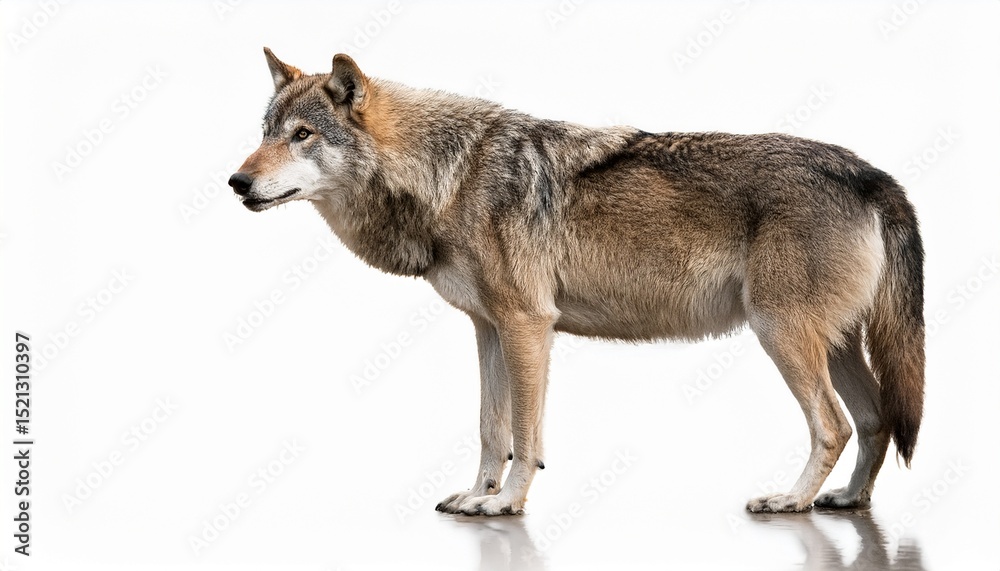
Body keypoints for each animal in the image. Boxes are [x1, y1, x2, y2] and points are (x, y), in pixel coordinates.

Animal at [229, 49, 925, 516]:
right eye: (265, 133)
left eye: (302, 135)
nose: (237, 182)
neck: (449, 176)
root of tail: (870, 173)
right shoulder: (489, 329)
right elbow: (490, 430)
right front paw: (475, 496)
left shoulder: (528, 326)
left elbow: (525, 432)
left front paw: (506, 504)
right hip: (835, 345)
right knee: (877, 420)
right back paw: (849, 499)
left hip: (780, 335)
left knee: (835, 425)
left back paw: (790, 501)